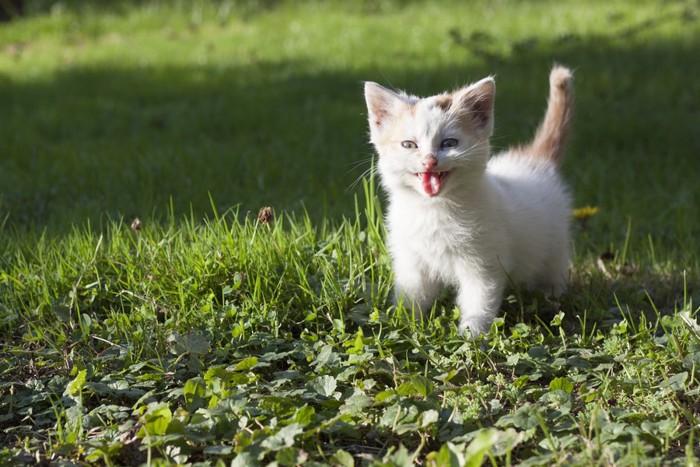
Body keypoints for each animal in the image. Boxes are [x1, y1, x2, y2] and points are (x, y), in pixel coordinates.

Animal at [364, 65, 572, 336]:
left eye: (449, 143)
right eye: (409, 144)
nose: (429, 161)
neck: (434, 210)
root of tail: (534, 158)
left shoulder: (484, 263)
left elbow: (479, 300)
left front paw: (471, 336)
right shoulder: (411, 259)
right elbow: (412, 294)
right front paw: (406, 325)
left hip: (555, 244)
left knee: (553, 270)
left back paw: (551, 297)